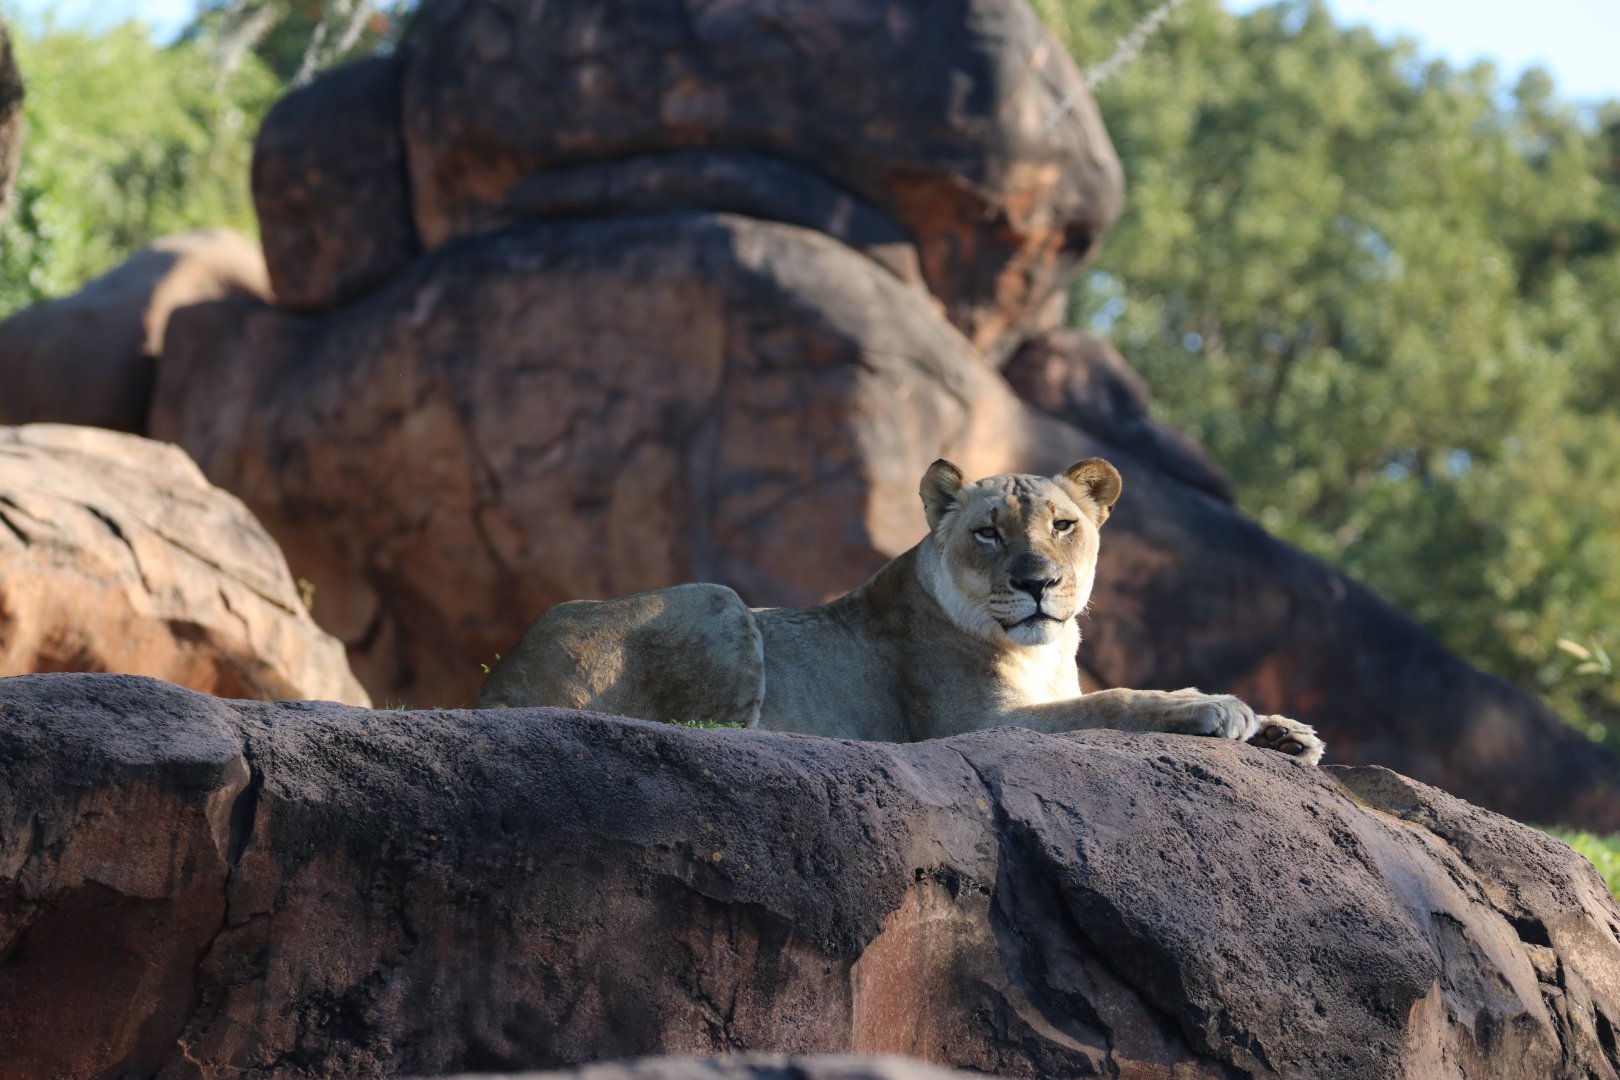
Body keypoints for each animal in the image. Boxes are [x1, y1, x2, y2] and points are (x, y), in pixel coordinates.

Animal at [478, 457, 1325, 764]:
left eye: (1063, 524)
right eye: (989, 532)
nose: (1039, 582)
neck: (1044, 650)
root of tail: (495, 681)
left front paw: (1287, 731)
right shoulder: (972, 724)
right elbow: (1118, 702)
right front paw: (1217, 708)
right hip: (718, 599)